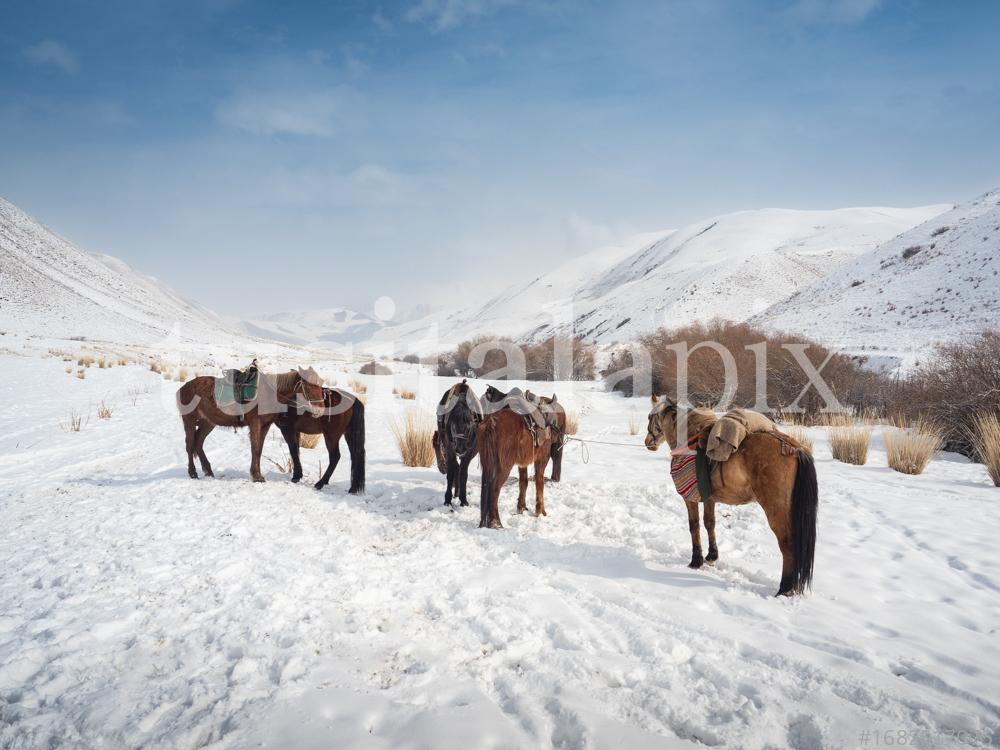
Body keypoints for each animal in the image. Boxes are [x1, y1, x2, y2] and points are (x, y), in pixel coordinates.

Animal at [176, 368, 324, 484]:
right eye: (309, 386)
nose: (320, 411)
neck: (269, 394)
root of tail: (183, 388)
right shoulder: (255, 424)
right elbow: (255, 448)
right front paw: (257, 476)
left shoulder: (265, 426)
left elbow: (259, 450)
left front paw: (256, 474)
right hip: (189, 421)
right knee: (190, 445)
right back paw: (193, 473)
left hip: (208, 422)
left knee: (199, 443)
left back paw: (208, 470)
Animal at [432, 382, 482, 512]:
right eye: (453, 426)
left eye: (469, 427)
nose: (460, 449)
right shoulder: (450, 450)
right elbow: (451, 473)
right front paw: (447, 500)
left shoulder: (469, 452)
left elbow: (464, 474)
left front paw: (464, 500)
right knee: (455, 468)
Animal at [474, 388, 556, 528]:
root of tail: (491, 423)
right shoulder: (541, 459)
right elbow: (539, 483)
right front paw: (540, 511)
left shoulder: (522, 463)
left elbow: (523, 482)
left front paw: (521, 507)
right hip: (505, 466)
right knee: (494, 489)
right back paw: (495, 522)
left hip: (487, 463)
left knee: (486, 486)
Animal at [644, 394, 816, 600]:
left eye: (650, 417)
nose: (648, 441)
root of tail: (795, 449)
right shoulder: (709, 499)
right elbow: (709, 523)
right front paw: (712, 556)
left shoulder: (690, 499)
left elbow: (694, 526)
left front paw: (696, 560)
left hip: (777, 510)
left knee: (788, 545)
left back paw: (785, 588)